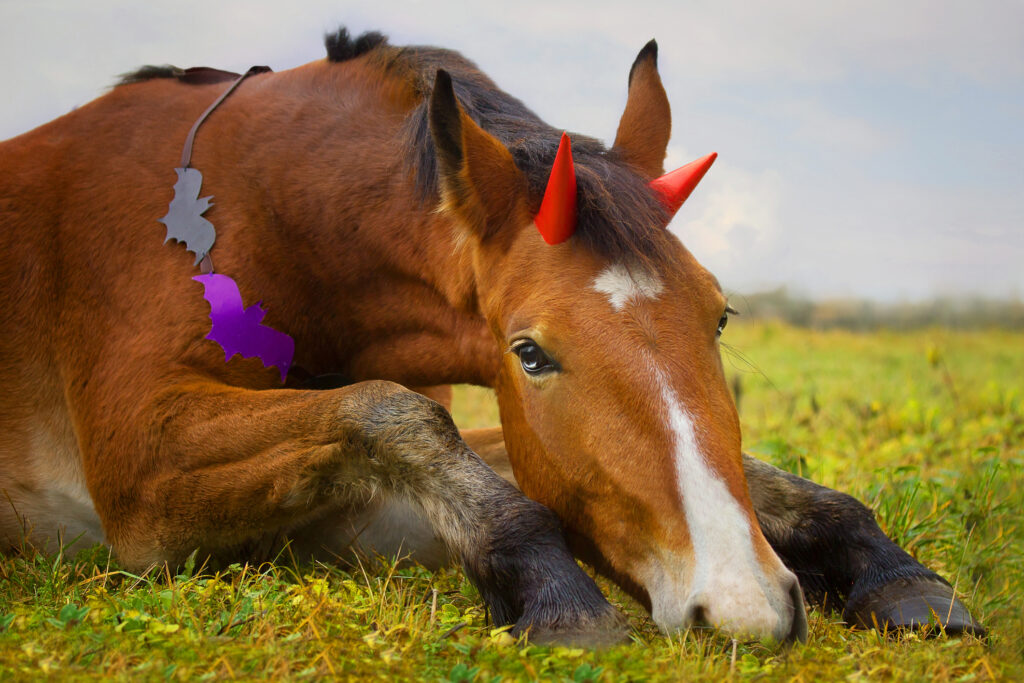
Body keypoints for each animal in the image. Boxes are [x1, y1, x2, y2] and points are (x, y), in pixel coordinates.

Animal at [0, 28, 983, 647]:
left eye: (720, 315)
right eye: (531, 352)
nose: (739, 603)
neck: (264, 210)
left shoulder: (348, 515)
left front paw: (890, 569)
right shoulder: (140, 481)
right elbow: (393, 414)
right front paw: (555, 594)